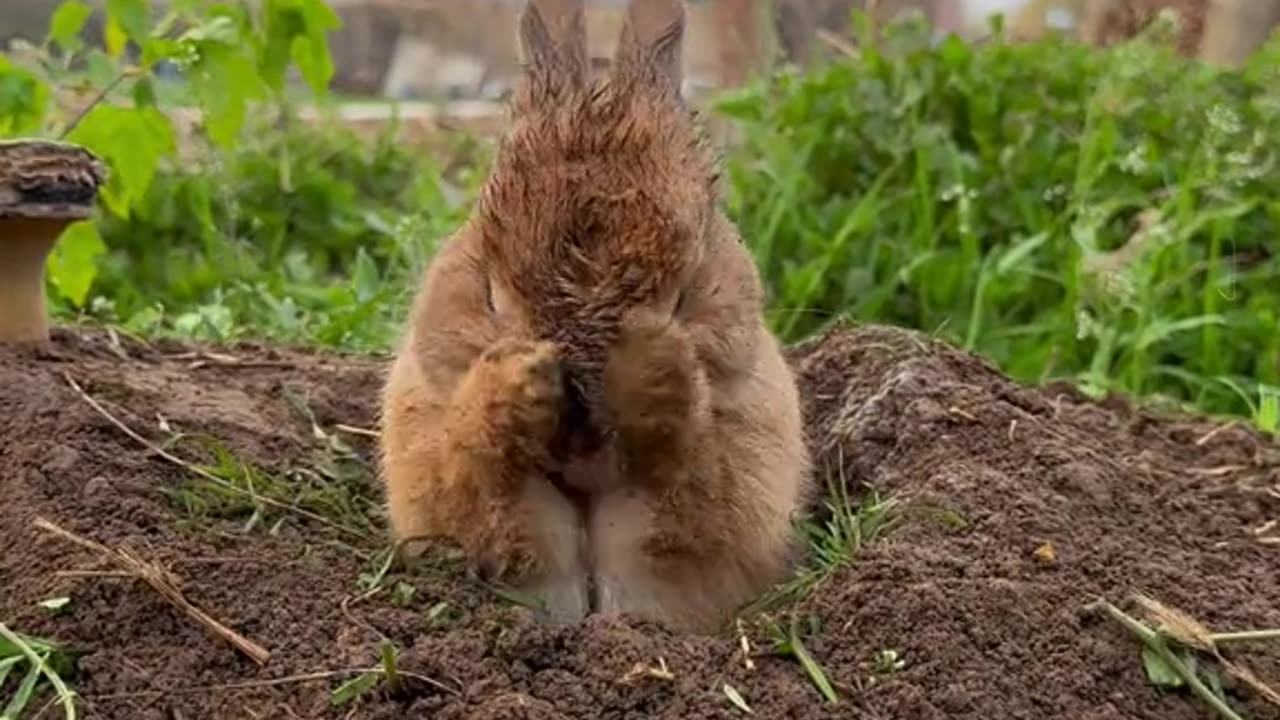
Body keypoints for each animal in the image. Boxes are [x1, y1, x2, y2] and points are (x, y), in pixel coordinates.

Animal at [376, 0, 808, 627]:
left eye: (687, 294)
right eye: (491, 295)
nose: (583, 444)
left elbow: (689, 482)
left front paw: (652, 363)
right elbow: (473, 470)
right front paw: (518, 381)